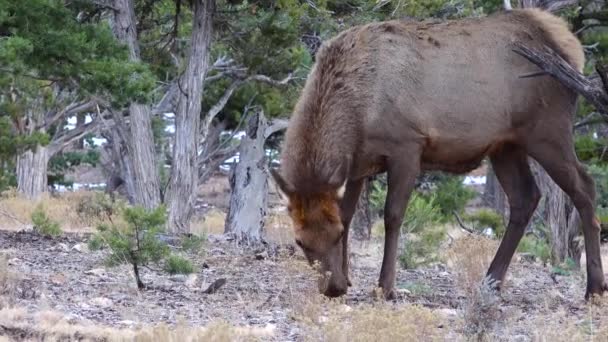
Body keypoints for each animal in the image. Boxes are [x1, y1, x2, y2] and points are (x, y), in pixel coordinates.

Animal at [272, 8, 608, 300]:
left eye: (337, 235)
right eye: (300, 241)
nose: (332, 288)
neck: (358, 113)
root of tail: (571, 47)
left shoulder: (407, 145)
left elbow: (392, 215)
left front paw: (385, 287)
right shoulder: (357, 165)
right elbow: (350, 212)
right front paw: (350, 277)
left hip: (548, 131)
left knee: (584, 186)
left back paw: (593, 287)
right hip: (506, 145)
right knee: (526, 197)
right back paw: (491, 281)